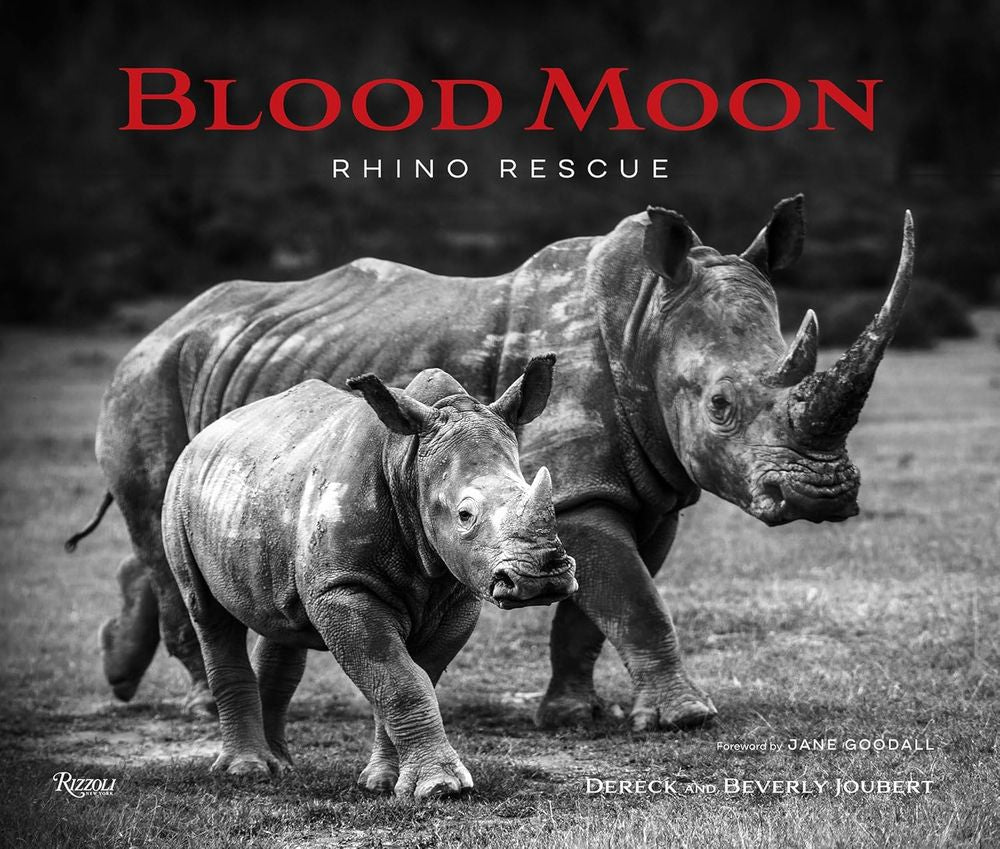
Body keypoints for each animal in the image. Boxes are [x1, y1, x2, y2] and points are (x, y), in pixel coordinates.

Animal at [69, 194, 914, 731]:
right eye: (721, 406)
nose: (827, 492)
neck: (643, 321)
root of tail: (163, 324)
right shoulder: (576, 490)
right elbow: (634, 599)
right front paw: (685, 718)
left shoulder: (649, 490)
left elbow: (594, 607)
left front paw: (573, 715)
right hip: (144, 379)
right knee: (159, 530)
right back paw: (201, 708)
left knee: (165, 537)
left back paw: (120, 670)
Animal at [162, 359, 578, 798]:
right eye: (465, 515)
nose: (541, 578)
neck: (407, 464)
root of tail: (205, 434)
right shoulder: (343, 587)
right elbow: (399, 680)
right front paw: (441, 788)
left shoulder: (459, 595)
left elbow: (414, 676)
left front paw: (385, 782)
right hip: (179, 489)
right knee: (208, 615)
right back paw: (247, 771)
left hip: (258, 488)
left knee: (281, 622)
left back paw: (280, 766)